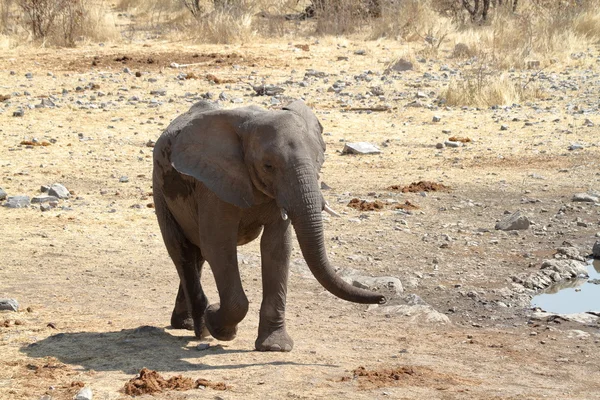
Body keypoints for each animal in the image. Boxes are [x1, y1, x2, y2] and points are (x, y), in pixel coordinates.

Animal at [151, 98, 384, 352]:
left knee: (197, 255)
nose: (382, 298)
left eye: (318, 161)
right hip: (160, 188)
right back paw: (200, 326)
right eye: (268, 166)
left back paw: (184, 323)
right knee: (182, 251)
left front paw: (275, 346)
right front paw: (217, 325)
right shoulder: (213, 184)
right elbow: (219, 246)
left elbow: (277, 247)